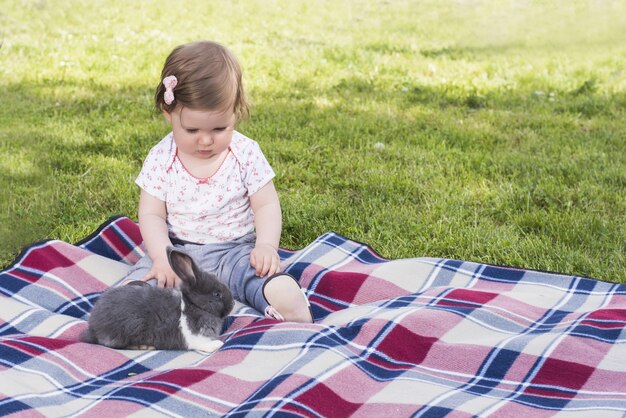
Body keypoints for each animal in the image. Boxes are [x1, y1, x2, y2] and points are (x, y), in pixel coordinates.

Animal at [80, 247, 232, 352]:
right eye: (217, 294)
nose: (231, 306)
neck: (193, 304)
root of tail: (92, 326)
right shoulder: (195, 338)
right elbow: (204, 345)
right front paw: (217, 344)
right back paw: (143, 347)